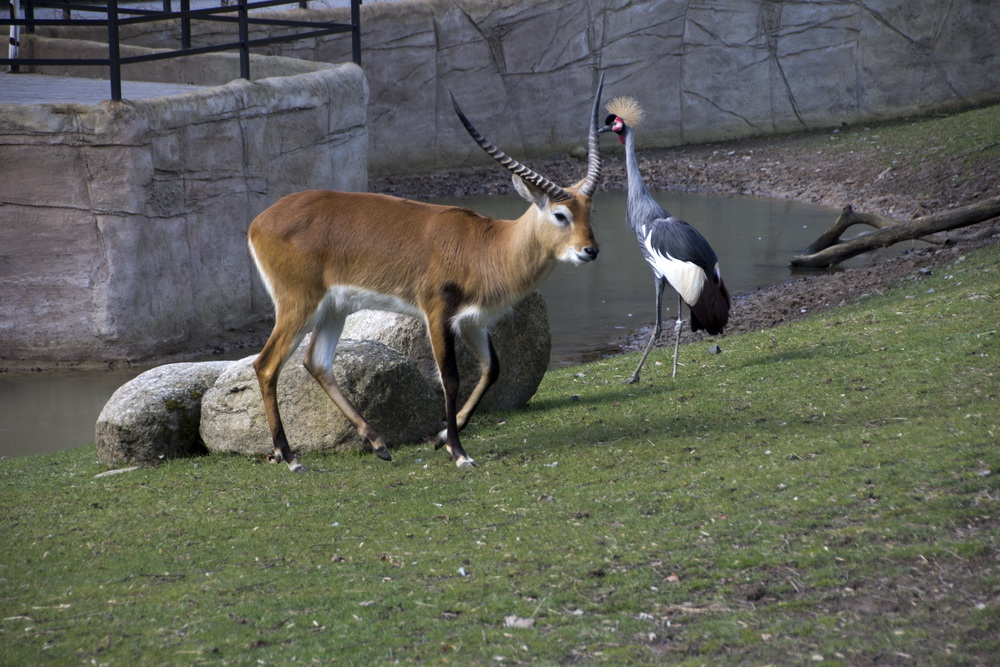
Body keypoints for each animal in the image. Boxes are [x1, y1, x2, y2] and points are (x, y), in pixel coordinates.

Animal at [248, 75, 608, 472]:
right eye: (560, 214)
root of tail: (259, 221)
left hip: (334, 309)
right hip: (299, 305)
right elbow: (450, 379)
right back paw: (290, 457)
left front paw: (441, 438)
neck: (487, 245)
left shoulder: (472, 321)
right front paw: (459, 452)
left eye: (589, 210)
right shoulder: (438, 313)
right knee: (266, 364)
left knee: (317, 362)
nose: (590, 250)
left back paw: (379, 444)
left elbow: (492, 368)